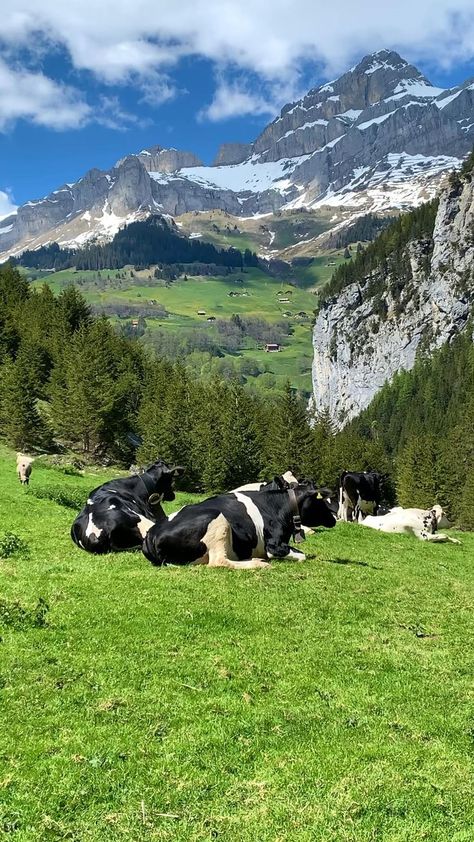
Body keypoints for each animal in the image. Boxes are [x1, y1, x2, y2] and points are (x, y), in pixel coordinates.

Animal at [143, 482, 336, 568]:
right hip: (218, 521)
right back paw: (258, 563)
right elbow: (301, 555)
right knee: (219, 561)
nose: (334, 519)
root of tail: (152, 534)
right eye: (321, 501)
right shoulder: (274, 546)